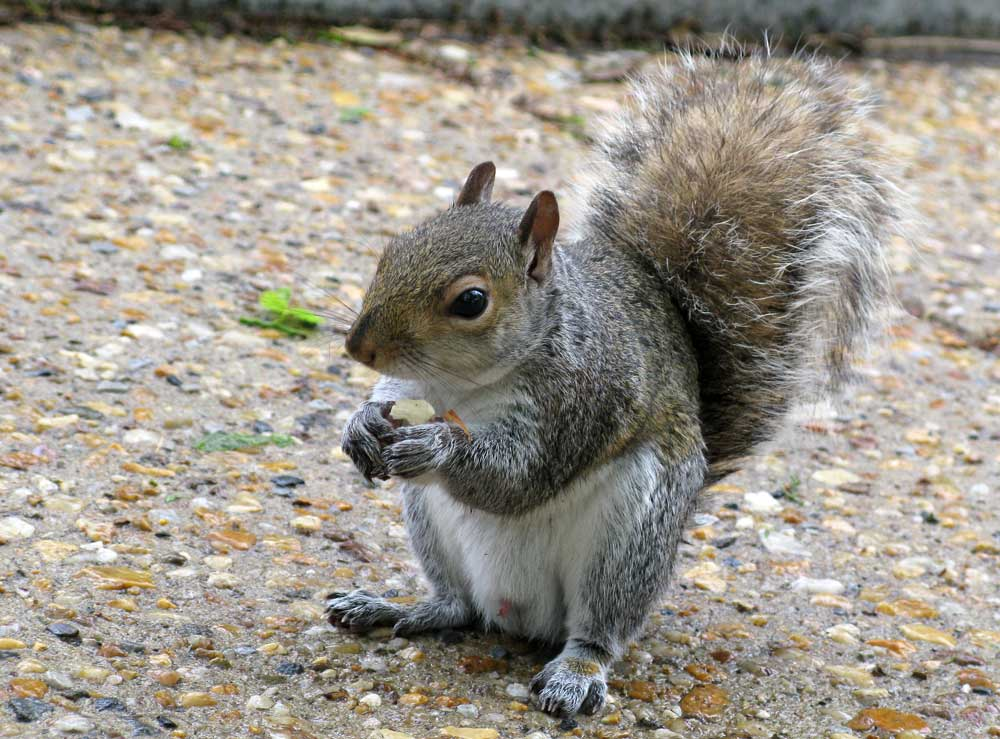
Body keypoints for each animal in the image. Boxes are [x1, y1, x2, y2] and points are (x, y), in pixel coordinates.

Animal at [327, 45, 900, 718]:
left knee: (599, 628)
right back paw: (396, 606)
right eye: (391, 251)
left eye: (471, 301)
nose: (358, 347)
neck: (463, 386)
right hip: (431, 524)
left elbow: (516, 477)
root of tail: (517, 614)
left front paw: (438, 446)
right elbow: (389, 404)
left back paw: (575, 673)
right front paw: (359, 425)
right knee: (457, 605)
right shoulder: (414, 388)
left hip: (629, 537)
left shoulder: (584, 397)